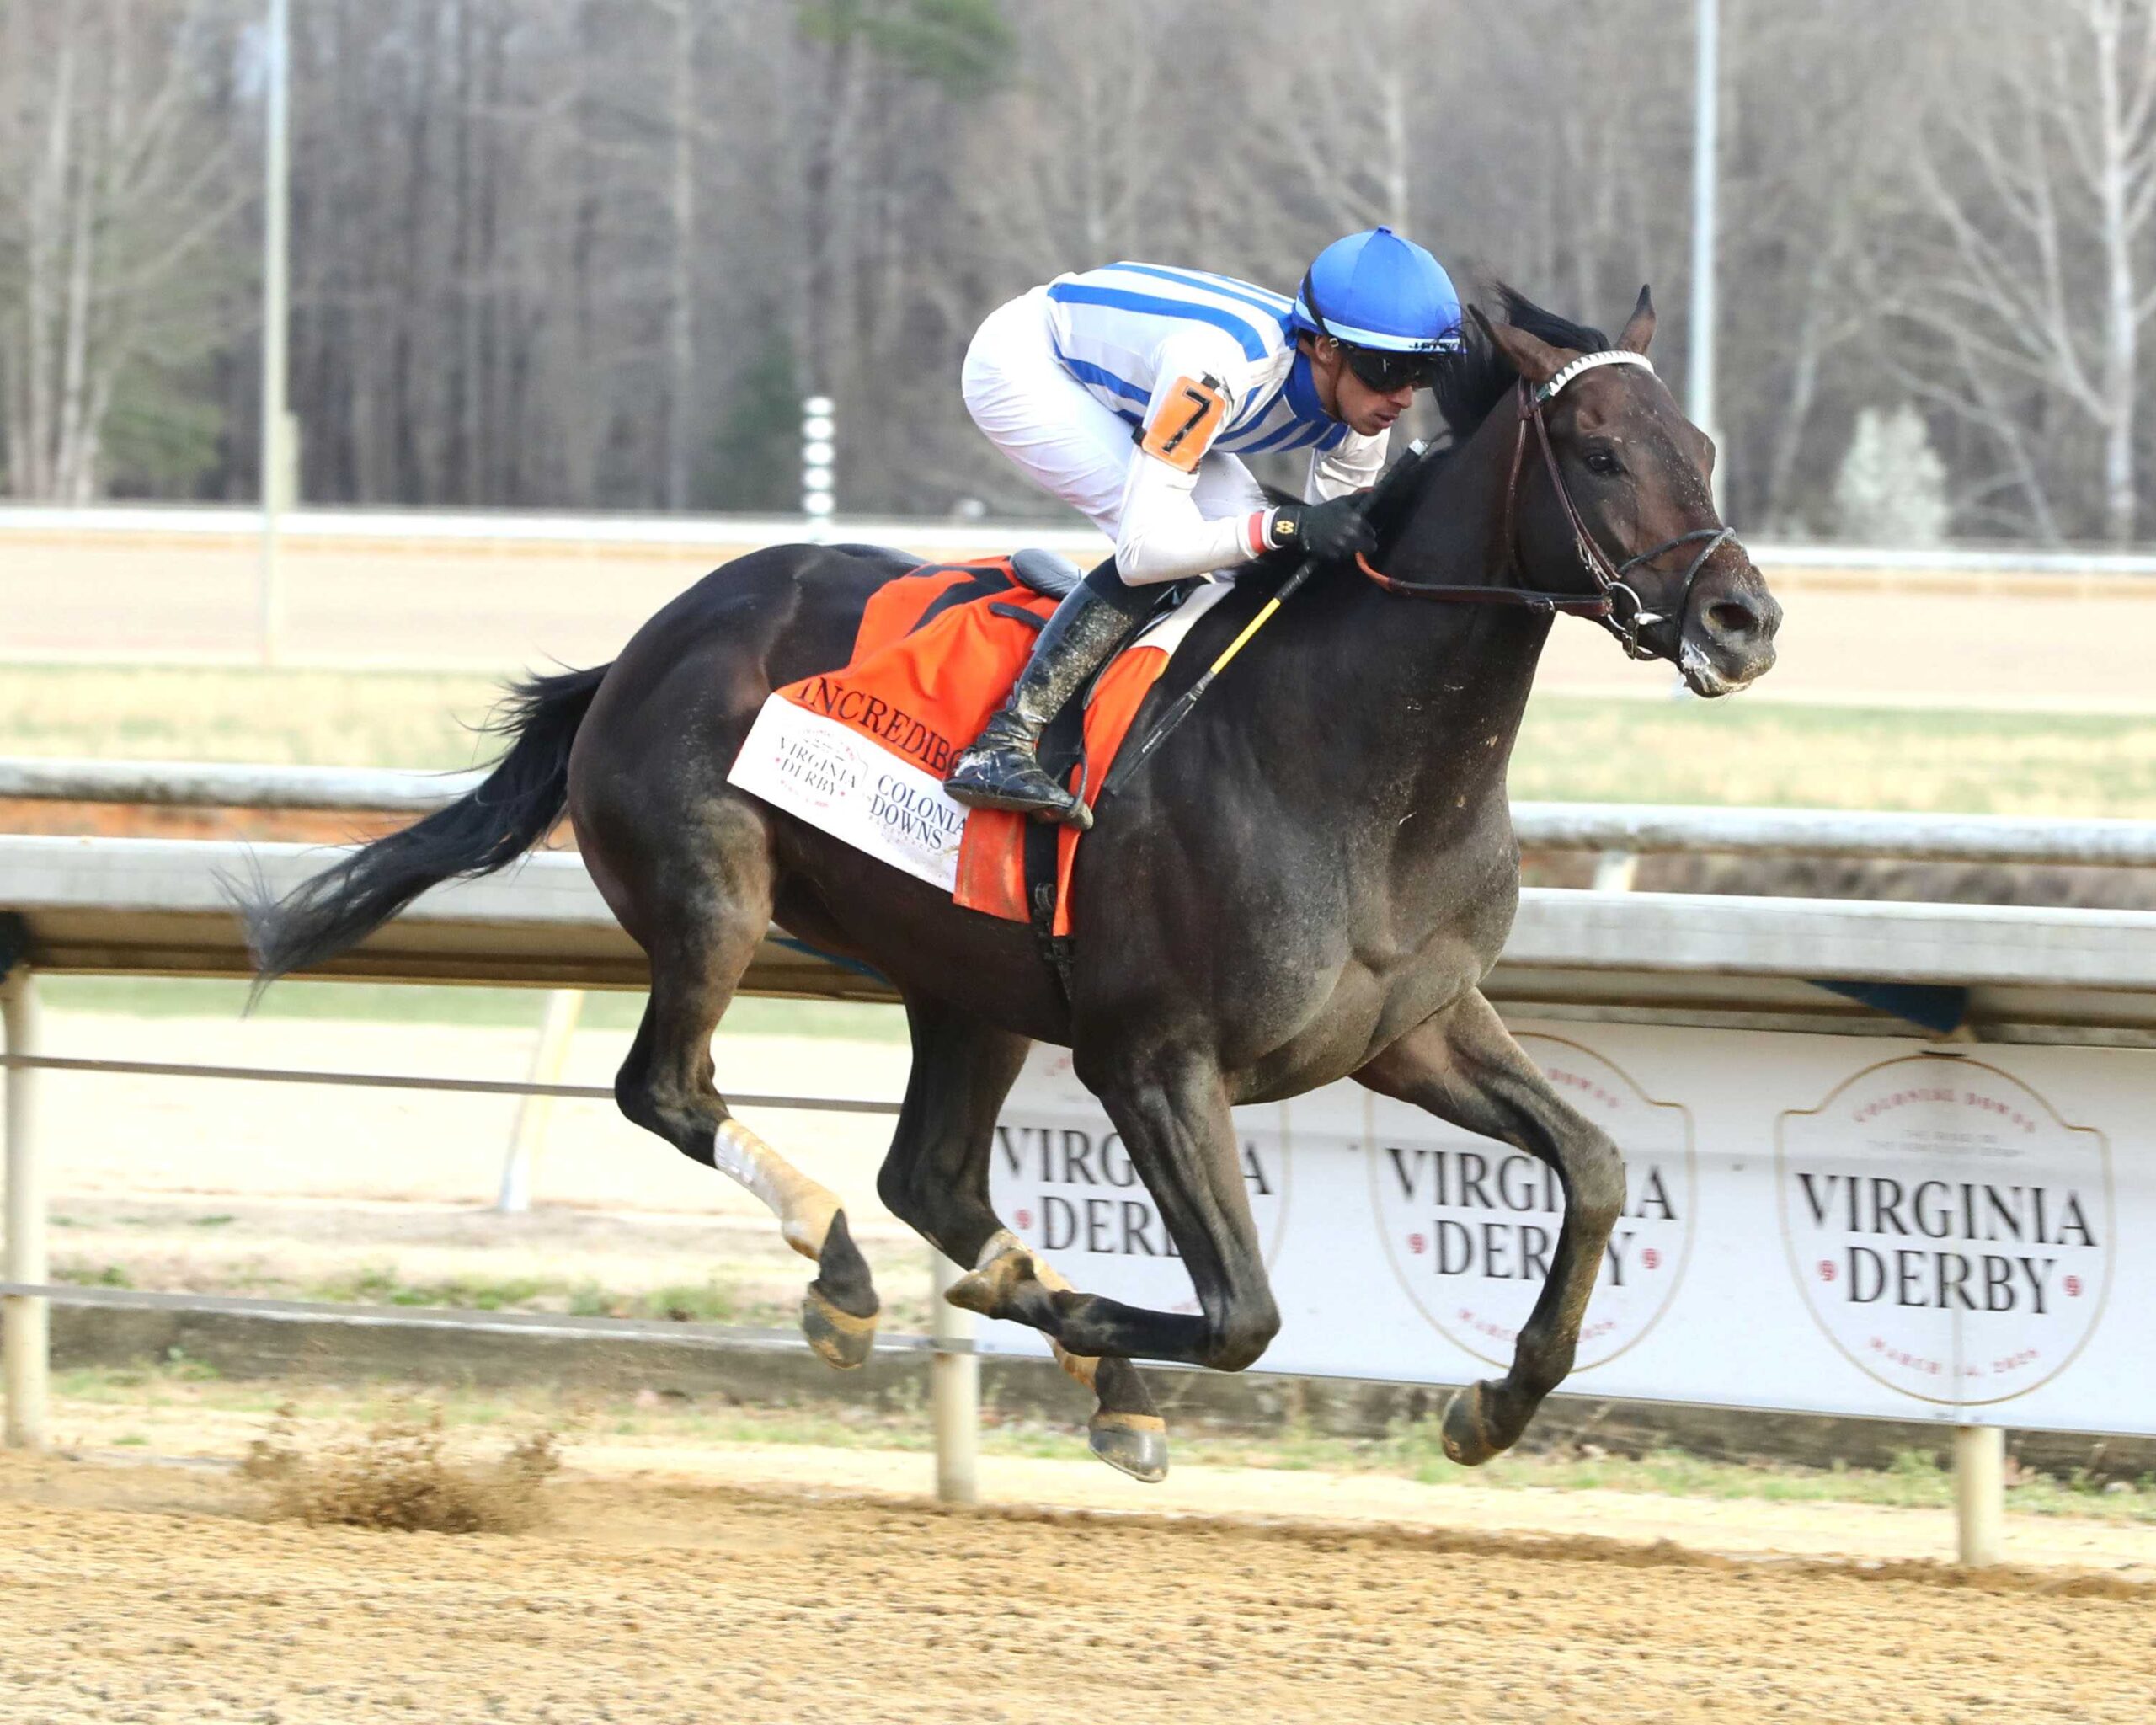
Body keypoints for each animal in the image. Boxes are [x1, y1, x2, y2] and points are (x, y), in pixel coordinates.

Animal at [245, 285, 1781, 1483]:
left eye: (1704, 445)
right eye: (1598, 451)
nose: (1743, 618)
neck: (1357, 764)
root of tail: (649, 638)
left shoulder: (1411, 1027)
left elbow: (1596, 1165)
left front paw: (1493, 1404)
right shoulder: (1150, 1057)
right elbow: (1242, 1310)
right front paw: (1086, 1319)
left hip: (968, 978)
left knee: (925, 1172)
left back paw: (1058, 1347)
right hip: (714, 898)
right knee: (671, 1090)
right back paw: (852, 1274)